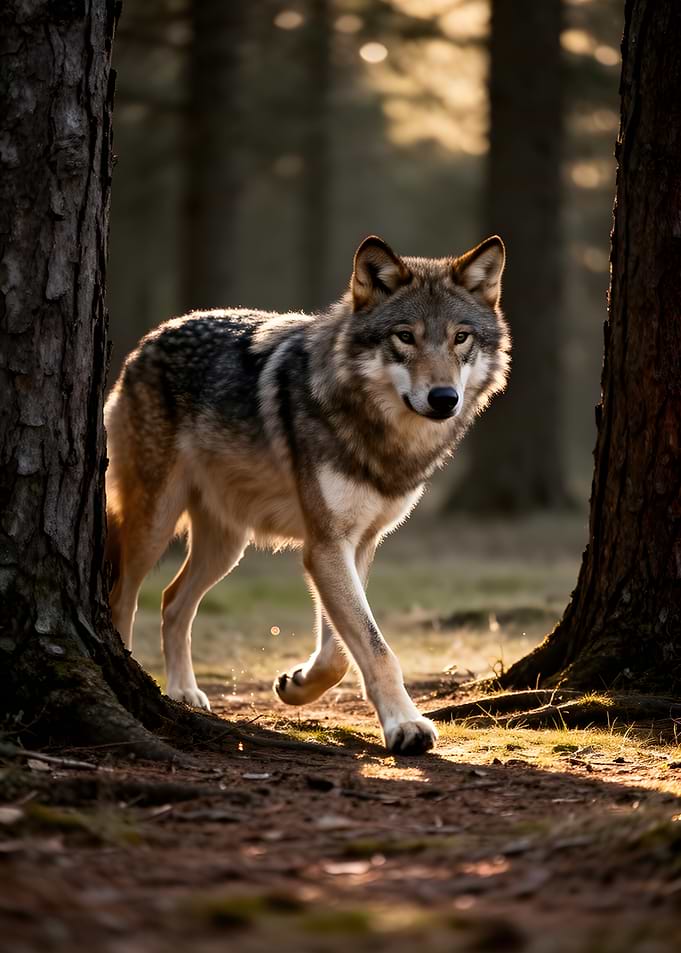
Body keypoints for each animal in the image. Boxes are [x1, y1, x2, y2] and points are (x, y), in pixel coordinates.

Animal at [105, 235, 510, 755]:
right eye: (405, 336)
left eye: (461, 337)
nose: (444, 399)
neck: (383, 440)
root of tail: (153, 337)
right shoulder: (325, 545)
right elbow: (377, 648)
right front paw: (405, 726)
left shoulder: (356, 543)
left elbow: (340, 649)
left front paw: (297, 685)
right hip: (154, 523)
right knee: (122, 596)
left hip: (227, 545)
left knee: (173, 602)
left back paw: (184, 693)